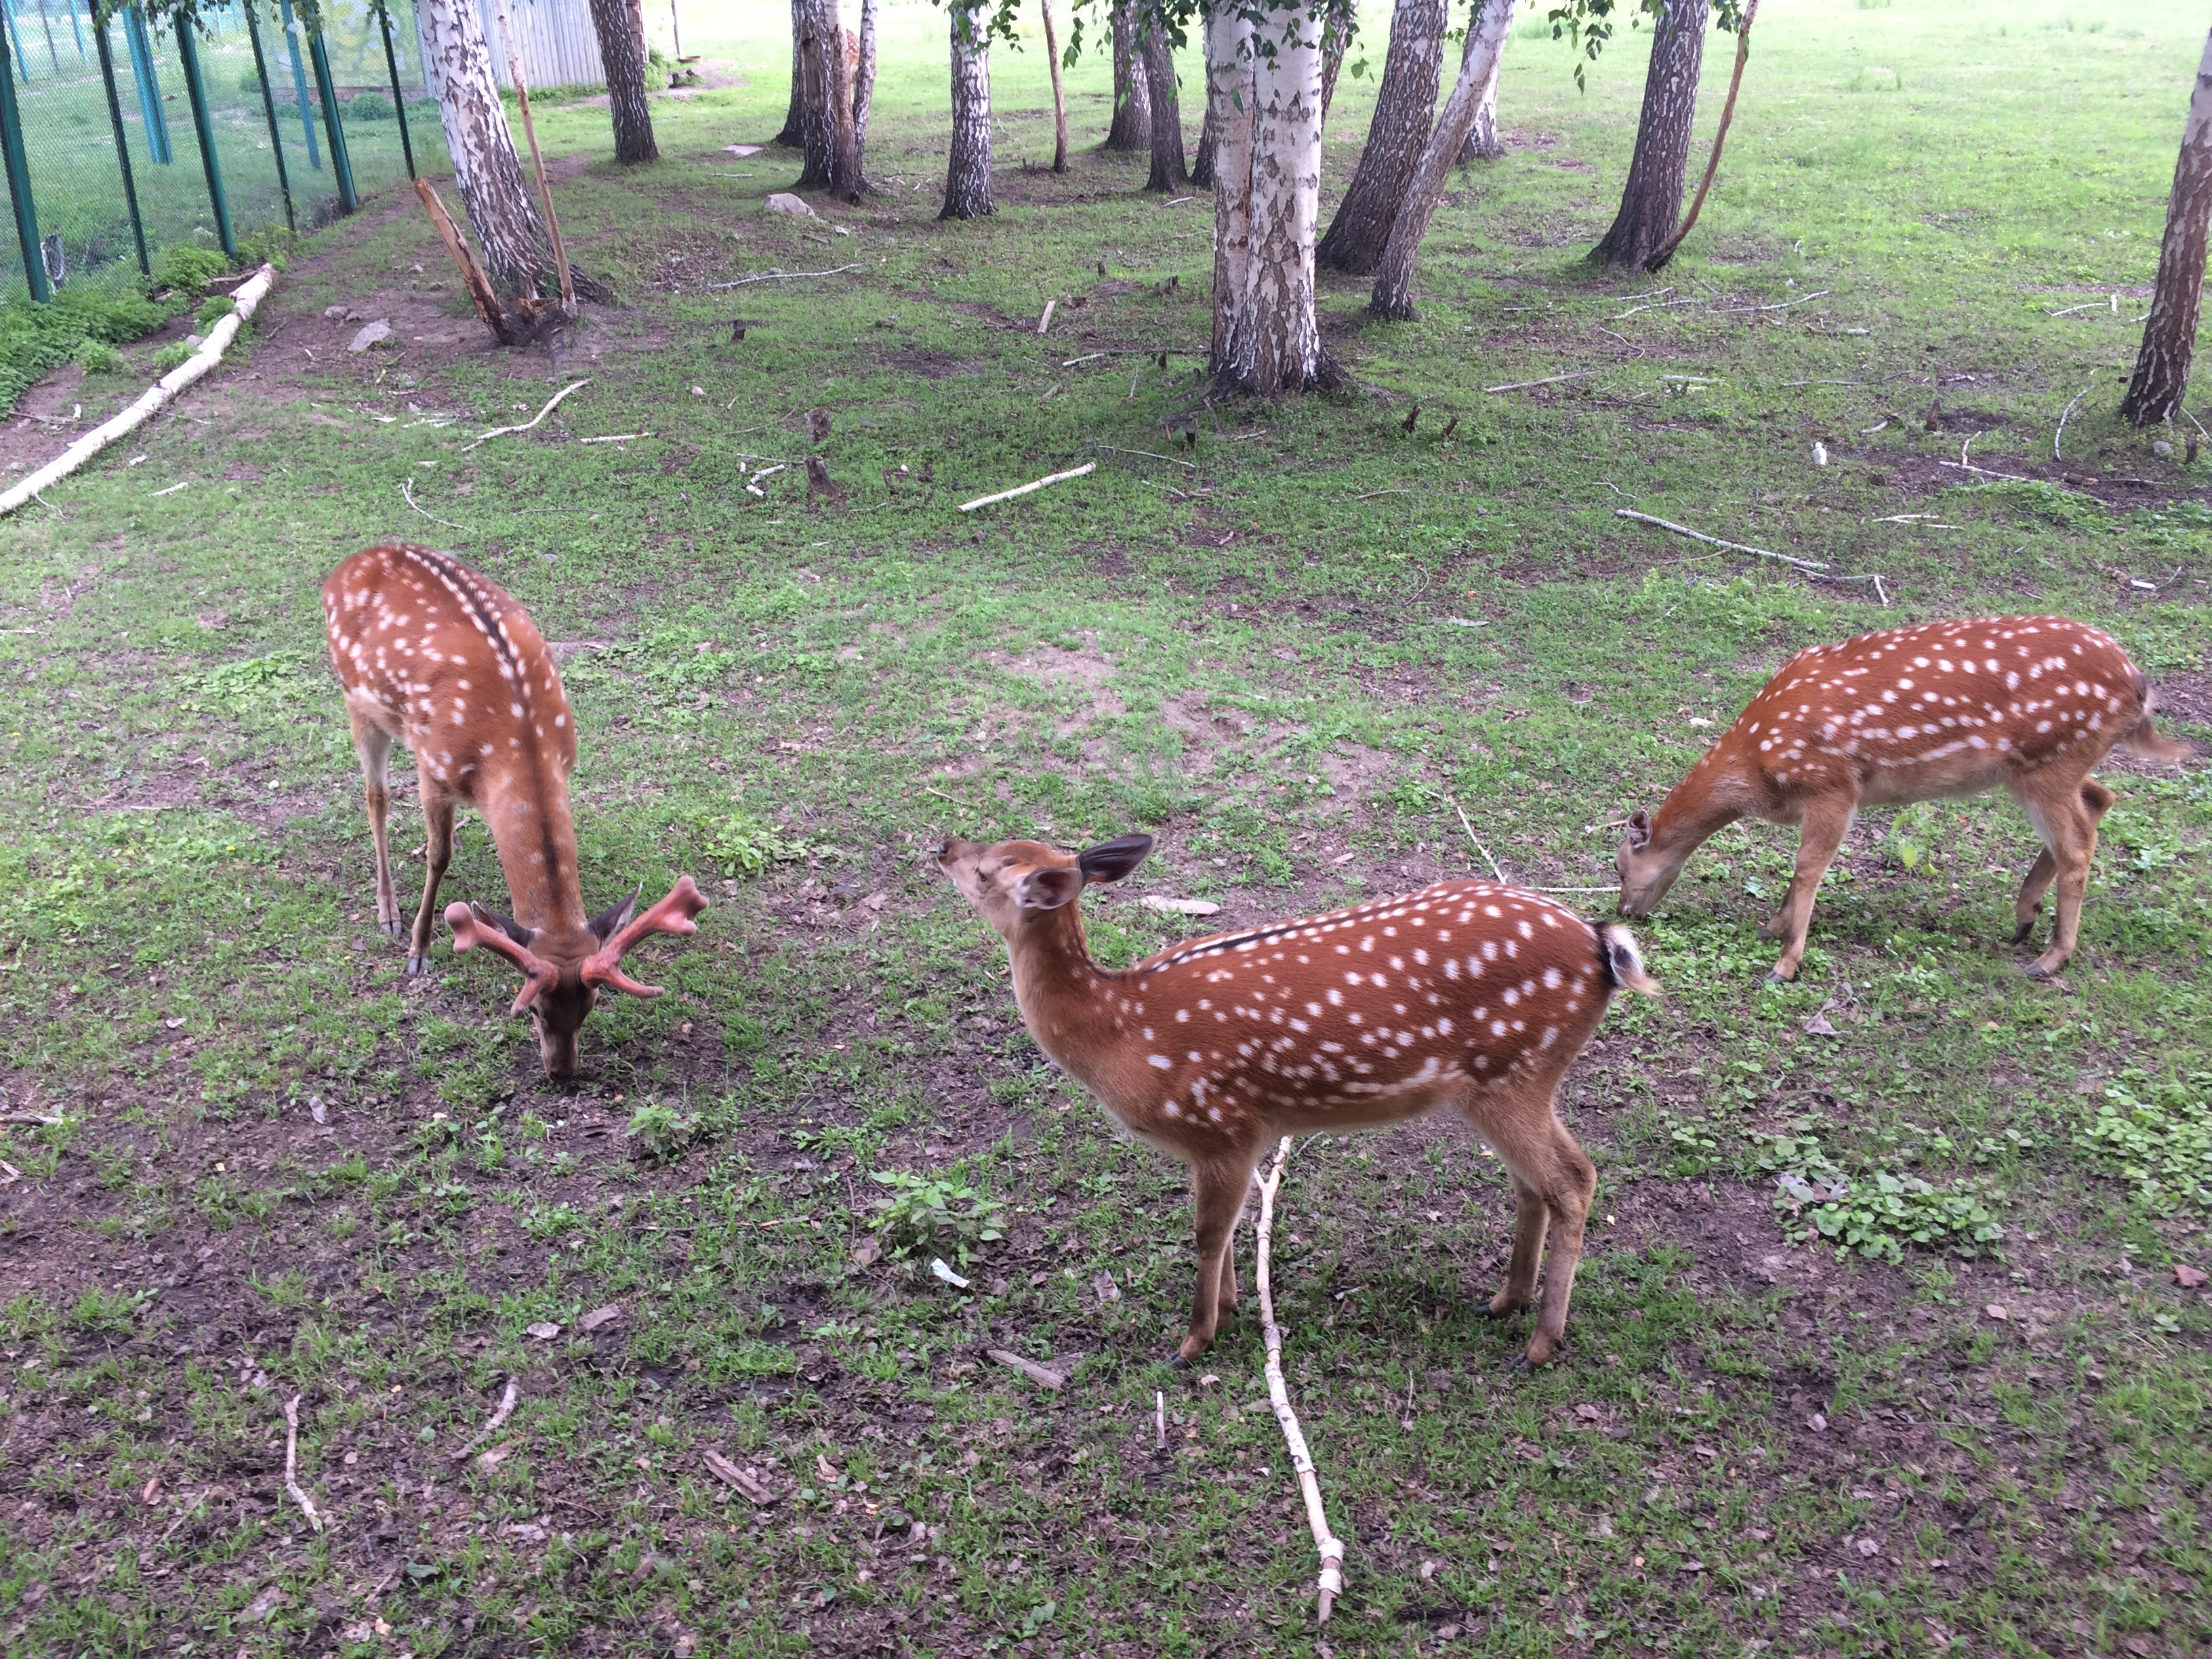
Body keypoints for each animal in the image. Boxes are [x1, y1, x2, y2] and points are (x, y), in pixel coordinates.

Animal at [323, 546, 703, 1079]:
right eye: (534, 1009)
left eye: (591, 1006)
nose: (562, 1074)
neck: (511, 740)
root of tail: (351, 562)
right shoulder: (433, 768)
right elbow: (439, 856)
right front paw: (419, 949)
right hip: (356, 699)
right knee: (375, 797)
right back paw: (389, 913)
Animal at [933, 836, 1663, 1371]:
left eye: (990, 868)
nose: (944, 844)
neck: (1120, 1033)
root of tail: (1603, 946)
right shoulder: (1226, 1142)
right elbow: (1227, 1231)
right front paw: (1229, 1310)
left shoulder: (1221, 1123)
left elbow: (1207, 1233)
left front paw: (1192, 1341)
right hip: (1502, 1086)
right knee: (1533, 1183)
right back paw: (1503, 1300)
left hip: (1517, 1074)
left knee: (1573, 1179)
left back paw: (1540, 1345)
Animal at [1619, 623, 2185, 986]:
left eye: (1621, 865)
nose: (1626, 910)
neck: (1758, 763)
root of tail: (2138, 687)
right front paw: (1774, 927)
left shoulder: (1833, 785)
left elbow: (1808, 867)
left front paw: (1784, 965)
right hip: (2042, 768)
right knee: (2100, 799)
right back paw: (2025, 920)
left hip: (2052, 757)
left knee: (2078, 843)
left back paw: (2050, 959)